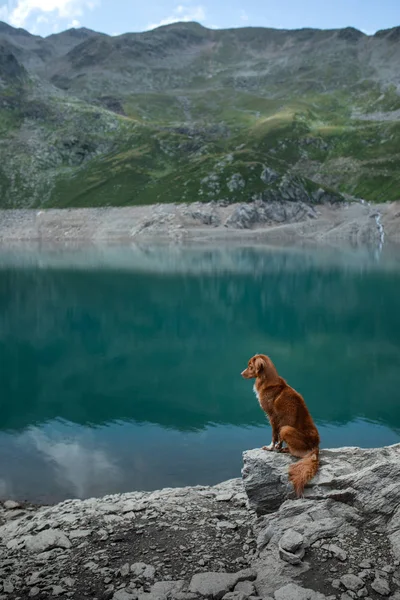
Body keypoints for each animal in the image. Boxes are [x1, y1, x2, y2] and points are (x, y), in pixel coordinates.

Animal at [242, 352, 320, 496]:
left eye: (250, 366)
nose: (241, 373)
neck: (267, 382)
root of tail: (315, 447)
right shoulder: (279, 420)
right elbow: (278, 437)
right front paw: (278, 447)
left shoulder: (273, 417)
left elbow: (274, 434)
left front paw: (271, 447)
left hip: (286, 429)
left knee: (298, 453)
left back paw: (287, 450)